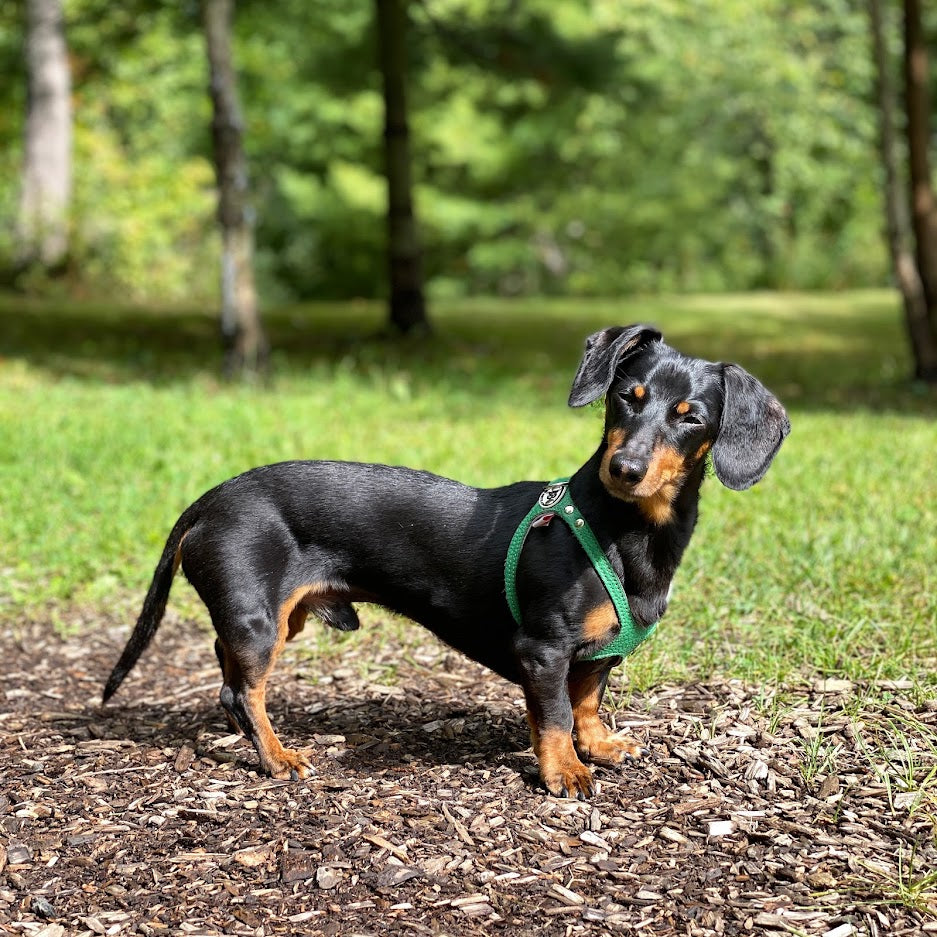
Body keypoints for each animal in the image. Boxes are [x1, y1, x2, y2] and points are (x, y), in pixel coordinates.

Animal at [102, 328, 788, 796]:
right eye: (625, 398)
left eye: (689, 418)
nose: (624, 468)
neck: (623, 532)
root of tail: (210, 499)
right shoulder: (543, 650)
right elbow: (556, 714)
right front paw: (564, 770)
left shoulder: (598, 654)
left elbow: (589, 698)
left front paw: (598, 746)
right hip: (257, 620)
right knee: (243, 690)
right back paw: (278, 757)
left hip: (271, 619)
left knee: (228, 675)